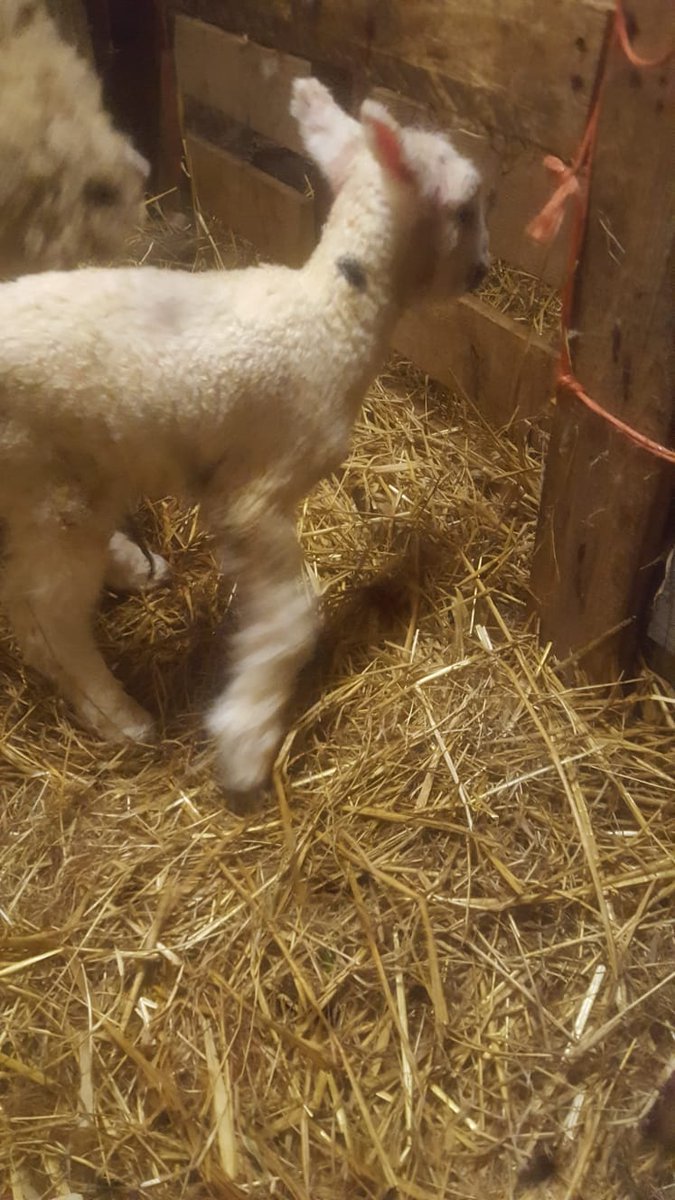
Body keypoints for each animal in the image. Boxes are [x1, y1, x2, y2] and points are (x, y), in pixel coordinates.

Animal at [0, 77, 489, 798]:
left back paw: (136, 569)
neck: (334, 310)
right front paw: (247, 739)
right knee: (44, 617)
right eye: (464, 207)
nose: (483, 271)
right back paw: (118, 715)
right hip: (49, 482)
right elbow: (291, 617)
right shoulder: (254, 494)